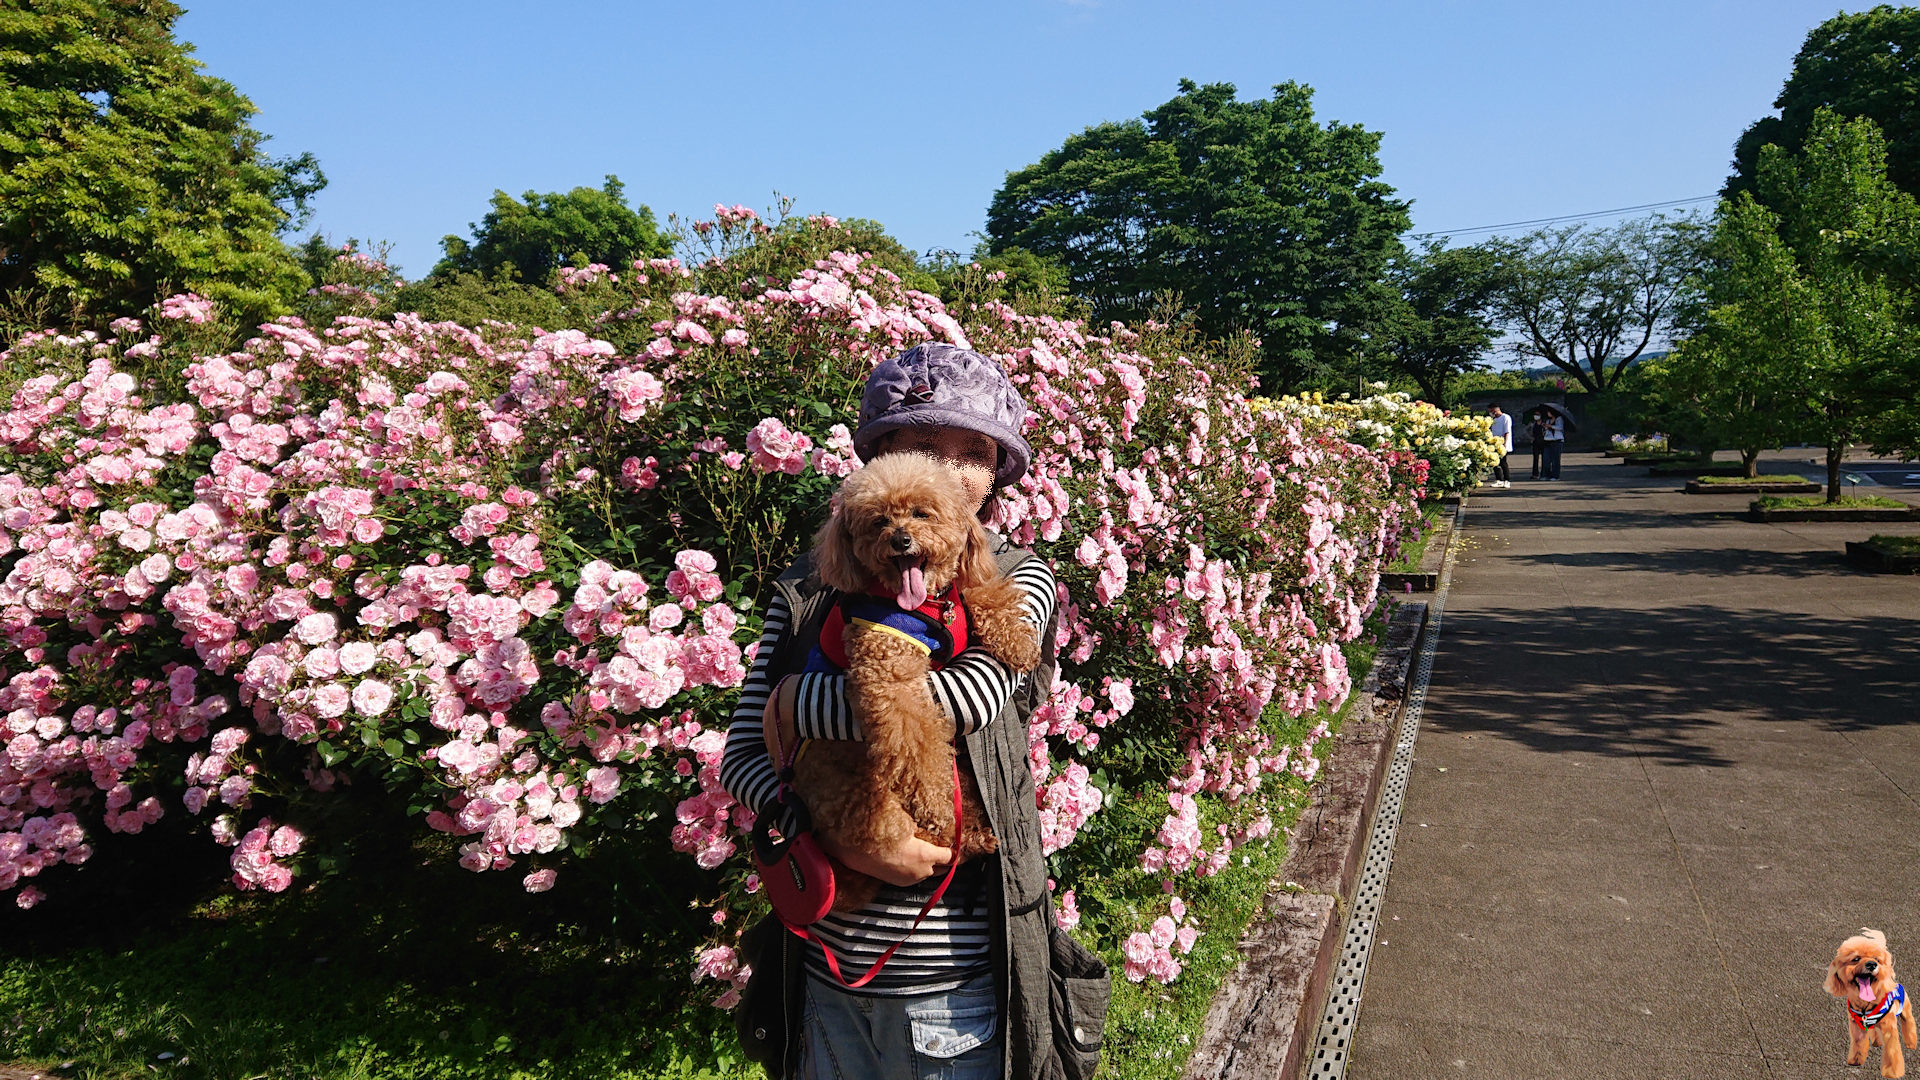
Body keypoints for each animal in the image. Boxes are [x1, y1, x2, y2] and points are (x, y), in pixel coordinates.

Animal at [791, 447, 1044, 907]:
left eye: (921, 513)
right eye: (878, 522)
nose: (900, 540)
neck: (928, 603)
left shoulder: (961, 591)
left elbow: (985, 593)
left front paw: (1018, 643)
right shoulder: (888, 676)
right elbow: (916, 741)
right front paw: (933, 803)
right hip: (868, 805)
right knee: (932, 839)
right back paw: (967, 837)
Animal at [1820, 922, 1912, 1068]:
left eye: (1876, 959)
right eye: (1856, 958)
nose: (1872, 964)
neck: (1865, 1005)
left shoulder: (1889, 1029)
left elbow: (1892, 1052)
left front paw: (1893, 1071)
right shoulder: (1857, 1028)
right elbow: (1858, 1046)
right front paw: (1855, 1061)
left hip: (1906, 1011)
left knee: (1909, 1025)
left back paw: (1911, 1044)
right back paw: (1877, 1042)